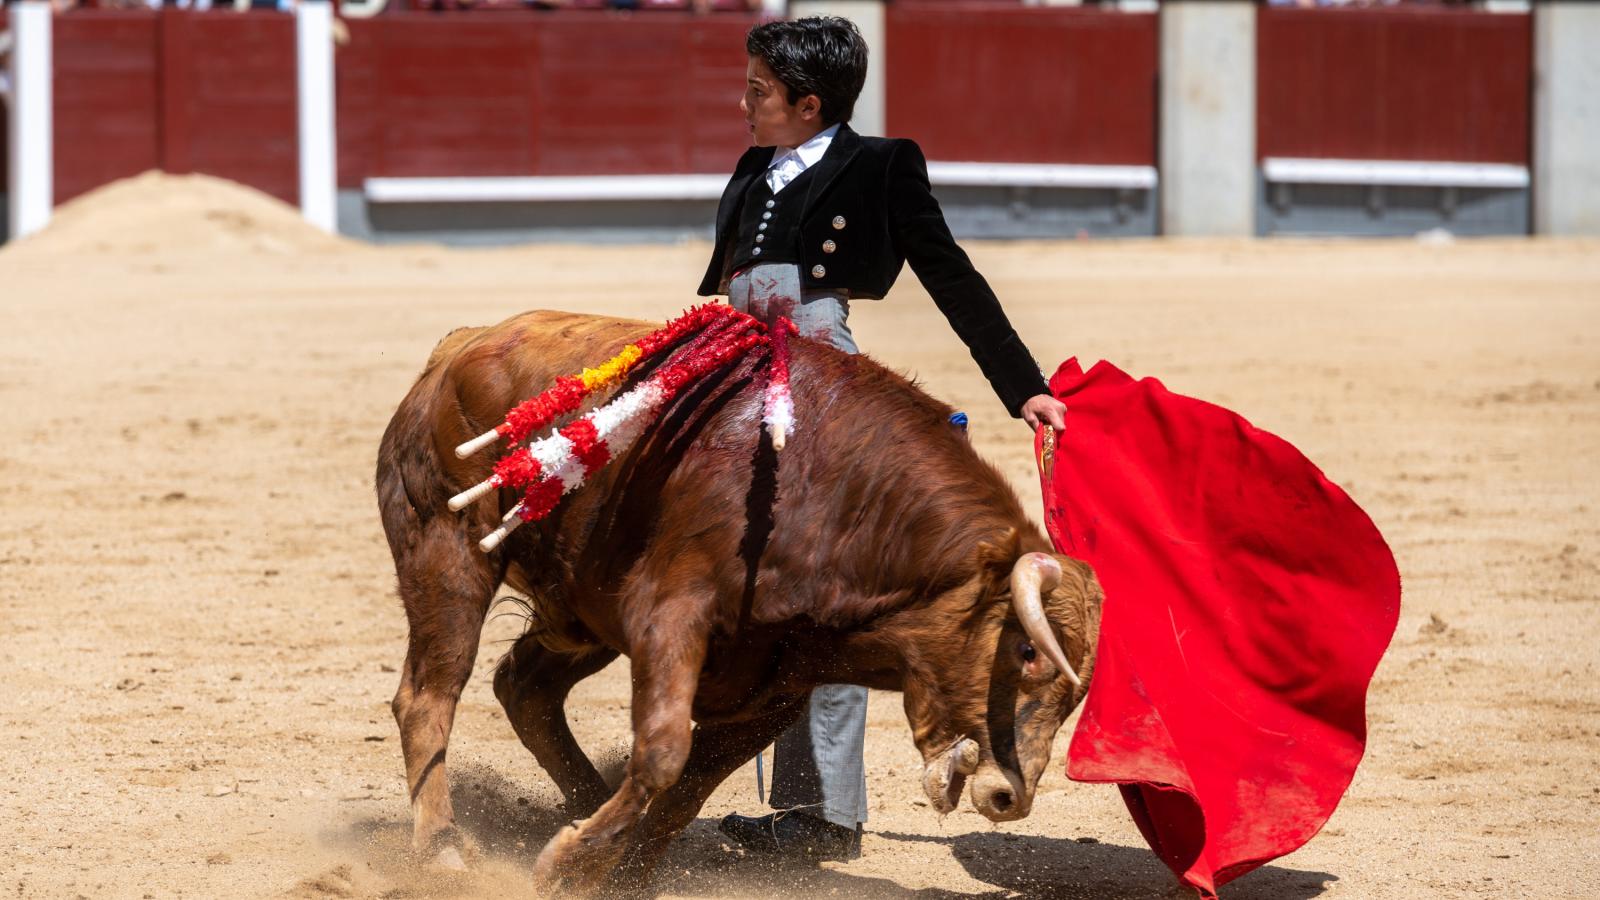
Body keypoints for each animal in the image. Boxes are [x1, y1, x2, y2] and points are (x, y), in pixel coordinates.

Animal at [374, 307, 1100, 890]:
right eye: (1027, 651)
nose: (1010, 796)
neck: (840, 489)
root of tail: (458, 349)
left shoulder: (781, 684)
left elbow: (689, 786)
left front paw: (617, 872)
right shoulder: (668, 615)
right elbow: (665, 752)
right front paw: (569, 865)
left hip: (579, 609)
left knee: (524, 687)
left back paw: (583, 800)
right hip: (447, 550)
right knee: (430, 696)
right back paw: (443, 850)